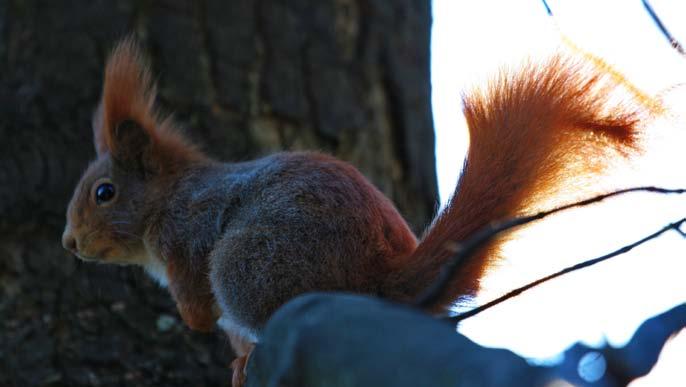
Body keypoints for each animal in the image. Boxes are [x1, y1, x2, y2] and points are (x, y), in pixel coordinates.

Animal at [60, 37, 656, 387]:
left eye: (104, 193)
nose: (69, 244)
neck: (166, 199)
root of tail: (377, 278)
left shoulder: (187, 237)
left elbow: (199, 309)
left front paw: (204, 327)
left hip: (247, 265)